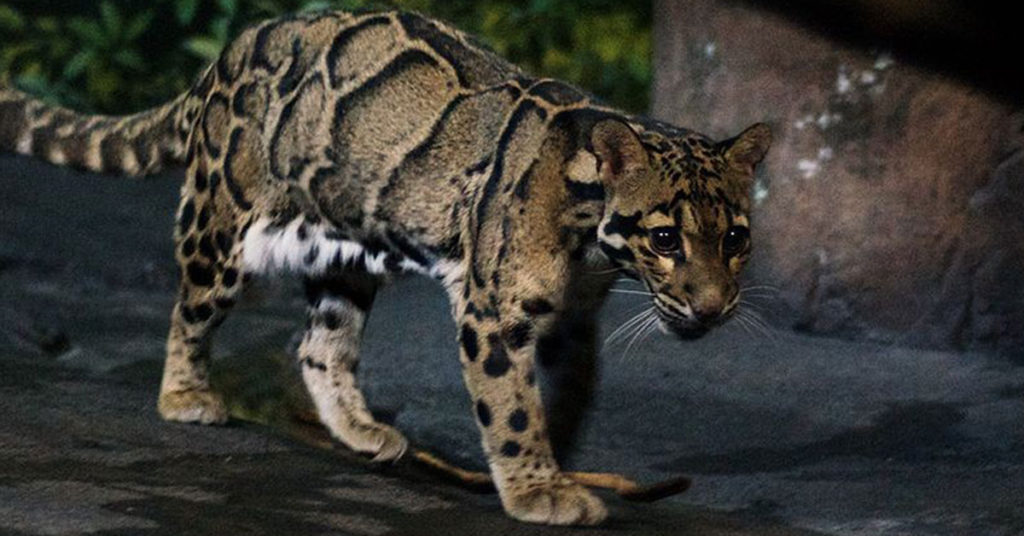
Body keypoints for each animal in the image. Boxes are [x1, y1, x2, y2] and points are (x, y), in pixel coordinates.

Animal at [0, 9, 770, 525]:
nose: (712, 308)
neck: (588, 238)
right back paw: (186, 394)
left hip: (341, 253)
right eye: (666, 239)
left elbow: (564, 397)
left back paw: (361, 429)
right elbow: (511, 405)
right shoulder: (495, 314)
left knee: (318, 346)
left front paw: (555, 464)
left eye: (736, 238)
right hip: (223, 222)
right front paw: (534, 486)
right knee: (190, 309)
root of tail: (232, 50)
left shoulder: (571, 320)